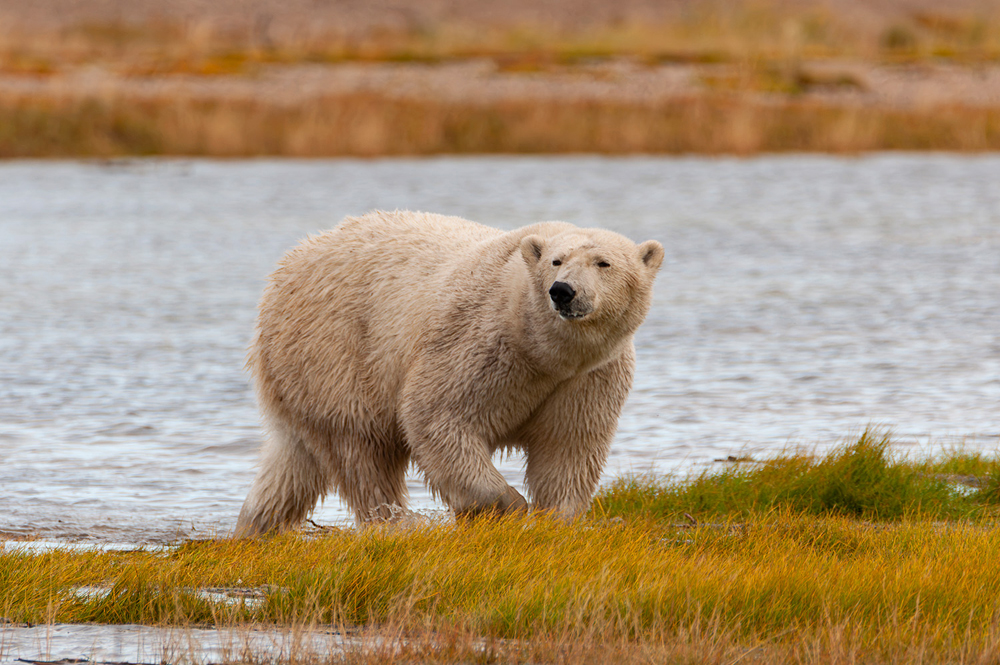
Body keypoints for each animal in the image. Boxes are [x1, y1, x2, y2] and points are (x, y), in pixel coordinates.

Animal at [234, 210, 663, 536]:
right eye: (556, 261)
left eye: (603, 263)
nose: (563, 291)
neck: (542, 349)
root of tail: (286, 269)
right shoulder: (482, 347)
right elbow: (438, 417)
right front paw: (509, 506)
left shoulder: (588, 375)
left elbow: (569, 445)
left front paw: (554, 518)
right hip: (338, 353)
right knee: (360, 451)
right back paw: (395, 525)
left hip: (301, 376)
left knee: (291, 464)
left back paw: (254, 528)